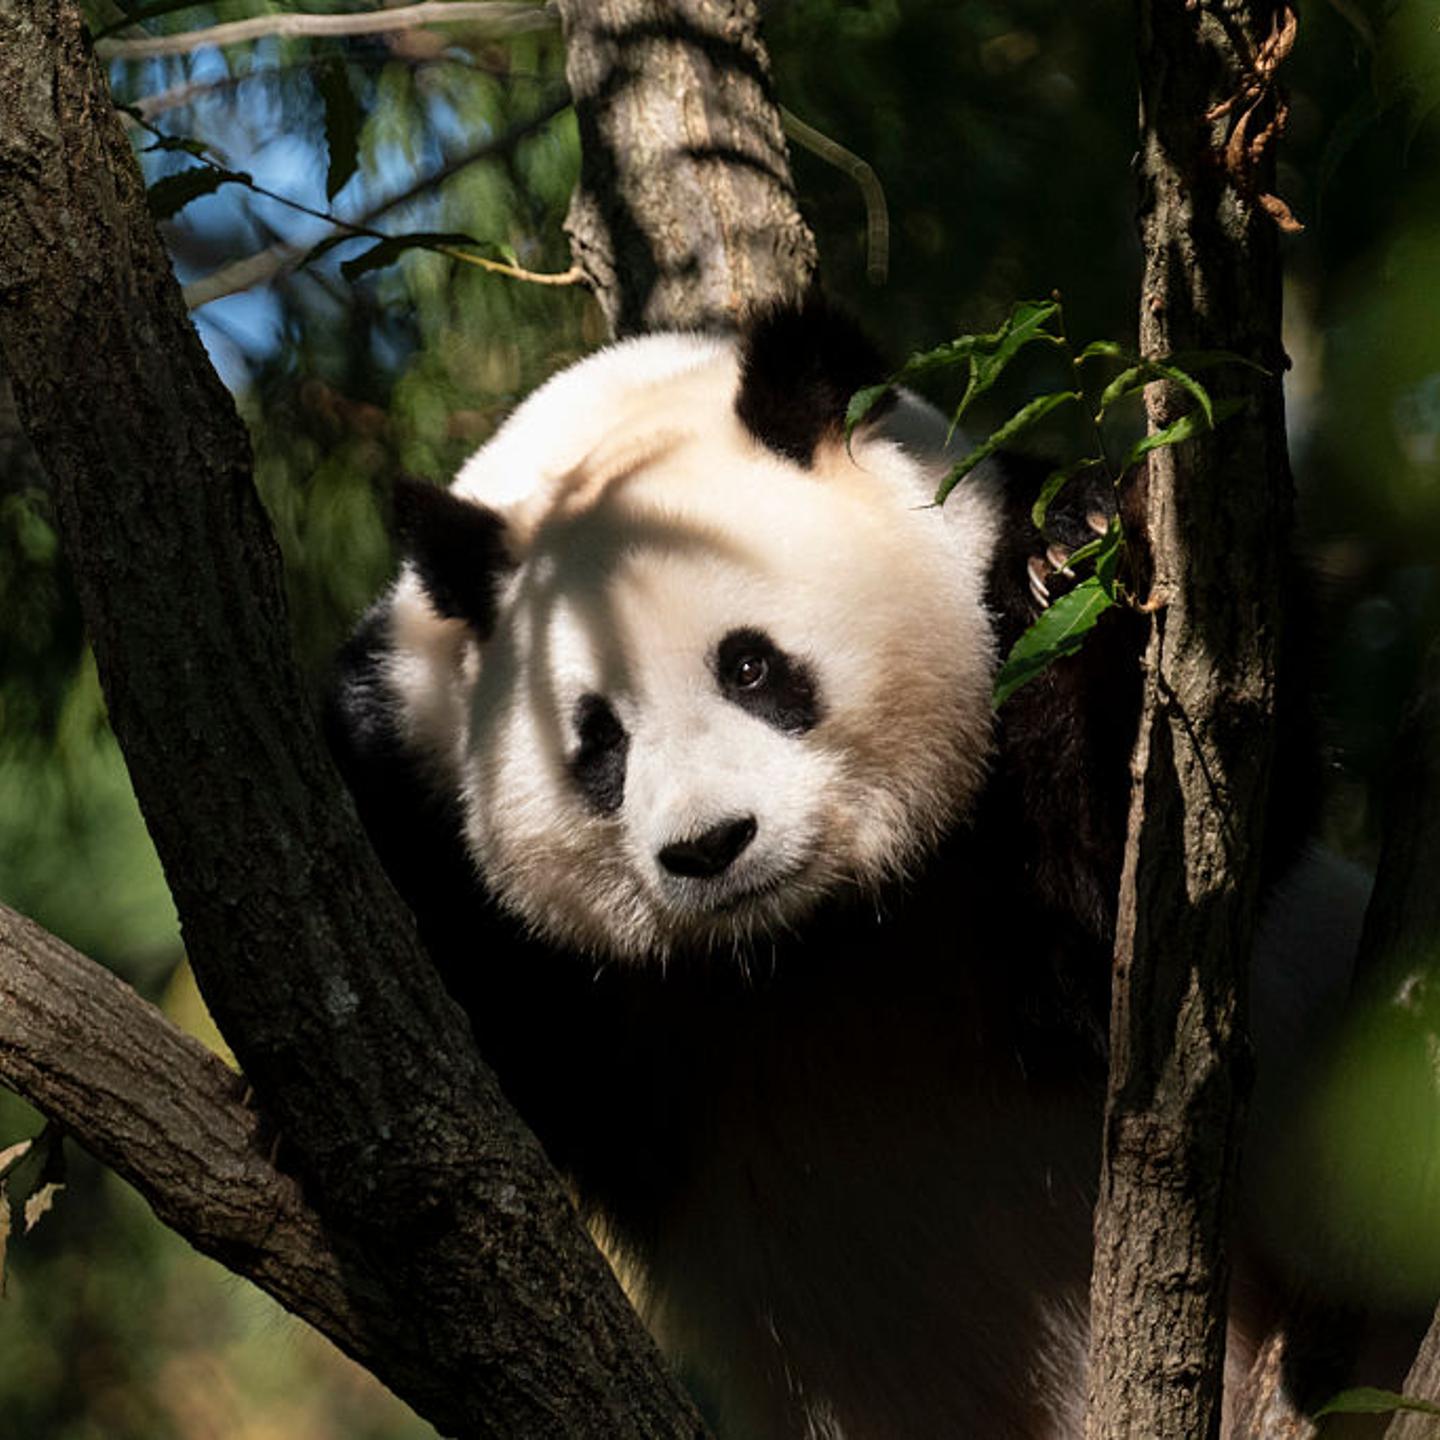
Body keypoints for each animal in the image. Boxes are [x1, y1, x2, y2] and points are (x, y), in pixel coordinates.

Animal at [328, 299, 1366, 1438]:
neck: (806, 950)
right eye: (598, 739)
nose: (711, 845)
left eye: (749, 665)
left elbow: (1124, 923)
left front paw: (1081, 543)